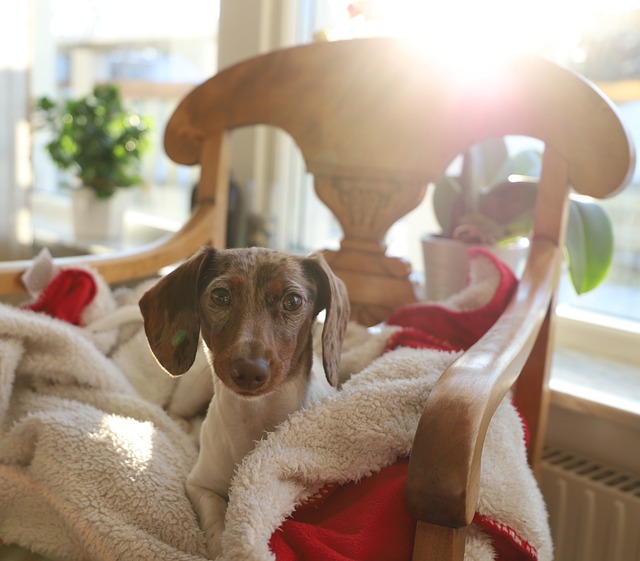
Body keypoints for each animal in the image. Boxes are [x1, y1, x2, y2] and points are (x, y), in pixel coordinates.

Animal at [139, 247, 350, 556]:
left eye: (293, 301)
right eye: (220, 295)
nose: (249, 371)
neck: (254, 417)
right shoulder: (199, 485)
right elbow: (216, 520)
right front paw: (223, 545)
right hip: (192, 390)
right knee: (175, 410)